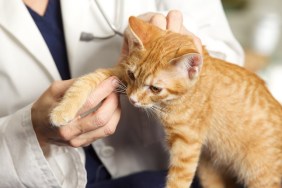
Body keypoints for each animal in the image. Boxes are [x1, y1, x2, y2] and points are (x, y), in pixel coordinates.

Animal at [51, 16, 282, 187]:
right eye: (132, 75)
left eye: (155, 88)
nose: (132, 99)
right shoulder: (118, 74)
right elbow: (86, 81)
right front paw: (62, 111)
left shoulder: (187, 146)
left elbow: (177, 181)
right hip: (209, 171)